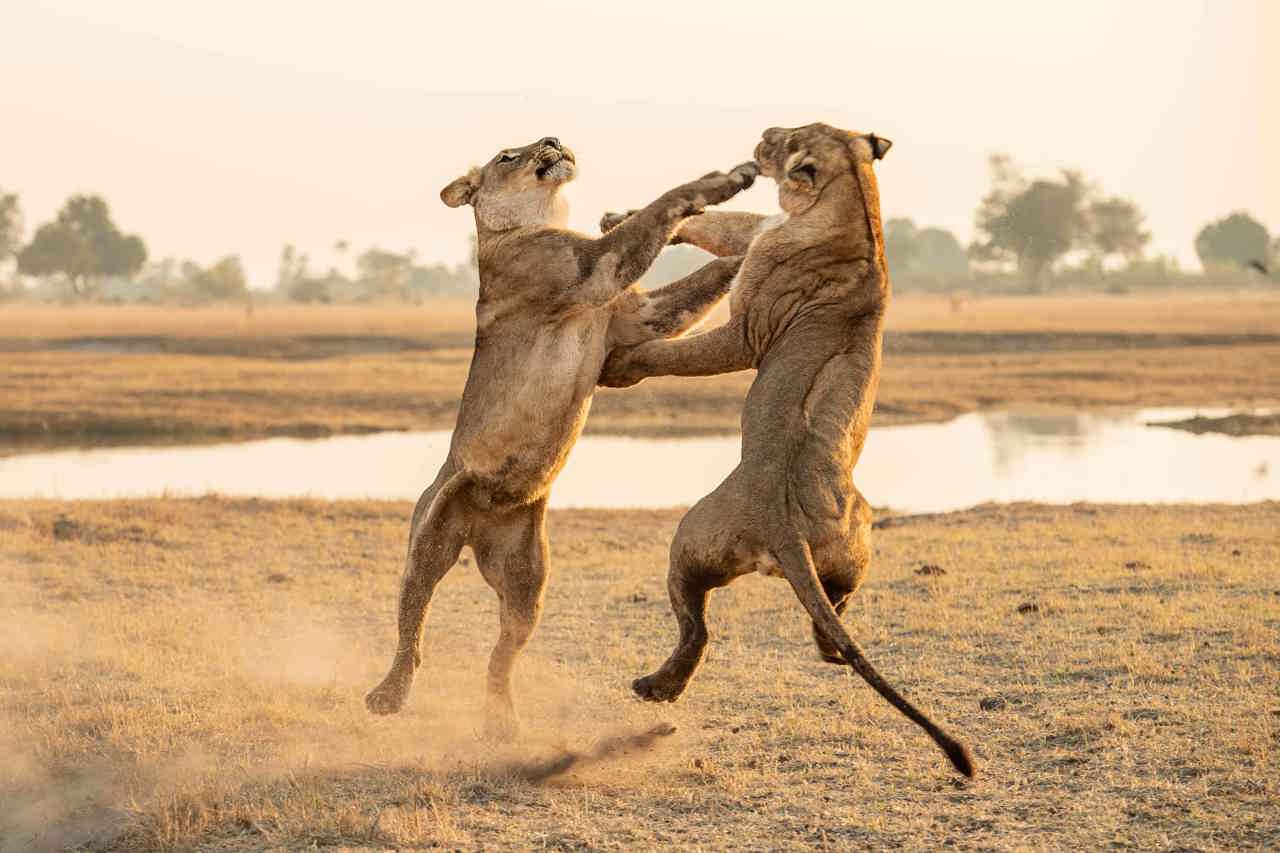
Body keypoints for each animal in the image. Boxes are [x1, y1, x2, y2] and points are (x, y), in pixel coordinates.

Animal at [364, 134, 759, 738]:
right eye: (508, 155)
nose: (553, 140)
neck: (540, 216)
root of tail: (478, 528)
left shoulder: (638, 319)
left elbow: (700, 281)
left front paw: (769, 240)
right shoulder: (591, 269)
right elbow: (662, 206)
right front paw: (730, 179)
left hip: (527, 580)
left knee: (501, 655)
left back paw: (503, 723)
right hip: (428, 539)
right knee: (414, 627)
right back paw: (389, 695)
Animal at [598, 123, 975, 777]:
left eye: (789, 138)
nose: (764, 133)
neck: (858, 210)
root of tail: (784, 526)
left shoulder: (747, 331)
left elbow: (676, 353)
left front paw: (620, 364)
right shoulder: (758, 233)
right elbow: (716, 224)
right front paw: (615, 217)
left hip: (687, 543)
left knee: (696, 630)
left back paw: (655, 687)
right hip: (854, 545)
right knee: (834, 618)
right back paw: (828, 643)